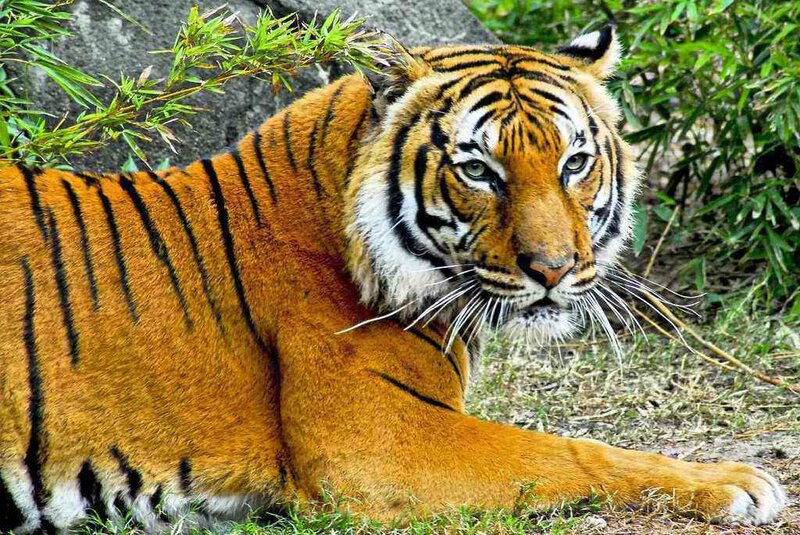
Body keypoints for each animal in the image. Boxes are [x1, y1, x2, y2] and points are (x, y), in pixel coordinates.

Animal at [0, 26, 786, 533]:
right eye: (479, 170)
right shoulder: (380, 445)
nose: (554, 269)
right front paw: (738, 481)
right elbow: (573, 451)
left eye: (574, 163)